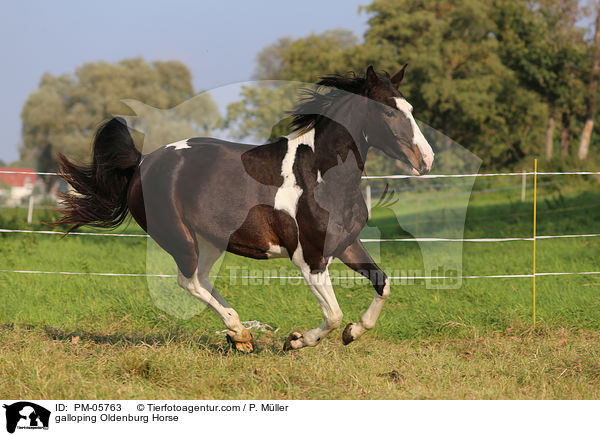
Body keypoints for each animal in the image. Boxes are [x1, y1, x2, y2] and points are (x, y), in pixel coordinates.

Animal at [55, 65, 432, 350]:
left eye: (411, 109)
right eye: (388, 111)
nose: (425, 159)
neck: (321, 176)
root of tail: (143, 162)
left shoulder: (346, 245)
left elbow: (383, 283)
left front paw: (353, 332)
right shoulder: (309, 259)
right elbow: (333, 314)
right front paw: (296, 341)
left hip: (210, 240)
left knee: (201, 279)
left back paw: (240, 336)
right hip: (180, 238)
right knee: (188, 281)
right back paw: (239, 332)